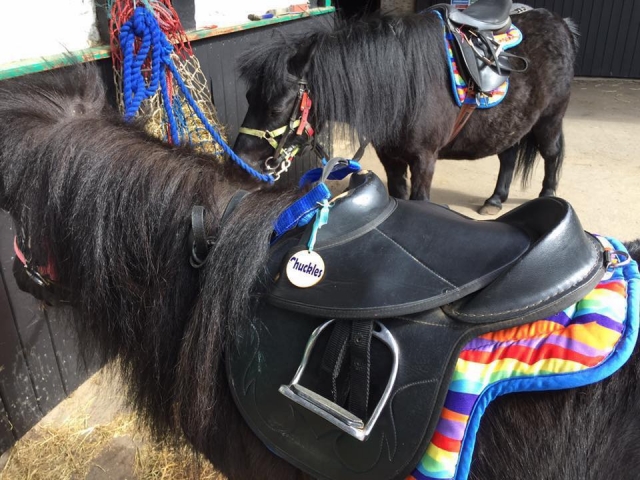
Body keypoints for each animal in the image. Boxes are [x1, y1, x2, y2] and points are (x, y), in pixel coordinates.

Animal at [233, 7, 579, 214]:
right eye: (248, 96)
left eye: (277, 106)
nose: (242, 167)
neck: (404, 85)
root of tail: (560, 23)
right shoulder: (391, 158)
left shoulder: (424, 159)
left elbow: (419, 199)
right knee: (508, 157)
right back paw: (495, 199)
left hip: (549, 119)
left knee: (552, 155)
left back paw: (548, 197)